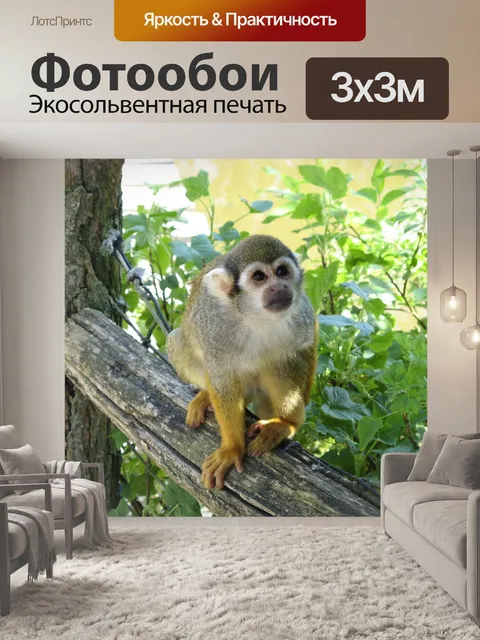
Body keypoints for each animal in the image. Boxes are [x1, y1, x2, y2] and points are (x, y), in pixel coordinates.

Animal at [167, 234, 317, 491]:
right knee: (178, 341)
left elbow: (306, 344)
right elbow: (222, 377)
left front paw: (290, 421)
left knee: (279, 360)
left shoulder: (301, 313)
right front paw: (232, 449)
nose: (279, 287)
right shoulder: (215, 327)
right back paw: (206, 396)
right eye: (259, 277)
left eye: (282, 271)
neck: (255, 316)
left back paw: (282, 422)